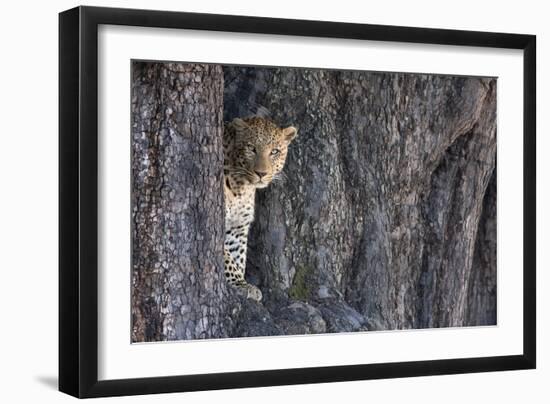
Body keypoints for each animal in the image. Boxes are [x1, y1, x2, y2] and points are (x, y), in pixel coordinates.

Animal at [222, 115, 298, 302]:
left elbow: (238, 256)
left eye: (274, 152)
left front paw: (240, 283)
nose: (261, 173)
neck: (241, 187)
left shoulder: (238, 227)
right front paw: (241, 284)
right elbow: (227, 257)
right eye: (251, 148)